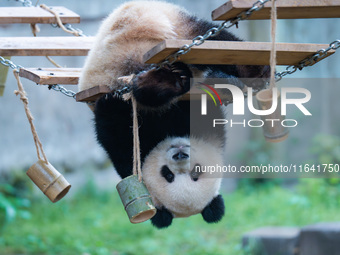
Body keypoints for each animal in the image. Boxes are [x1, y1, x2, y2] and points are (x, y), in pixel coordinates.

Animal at [78, 0, 270, 229]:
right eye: (168, 174)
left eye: (196, 173)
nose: (180, 153)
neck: (168, 131)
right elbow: (115, 130)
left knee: (210, 39)